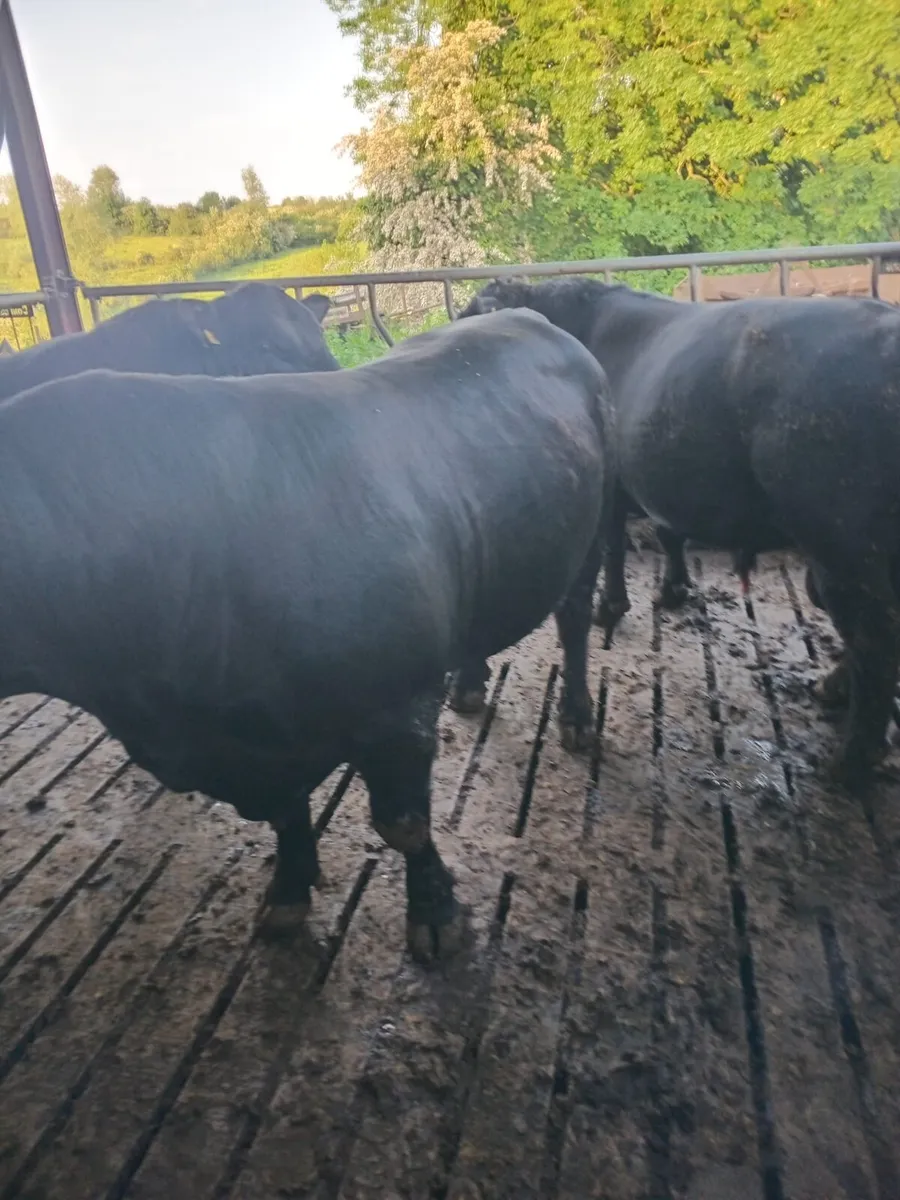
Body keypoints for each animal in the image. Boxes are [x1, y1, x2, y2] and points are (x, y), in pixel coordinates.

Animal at [0, 308, 613, 960]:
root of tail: (524, 313)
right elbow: (288, 814)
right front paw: (288, 894)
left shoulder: (398, 714)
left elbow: (403, 825)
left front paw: (435, 913)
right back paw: (470, 685)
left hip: (594, 530)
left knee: (575, 617)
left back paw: (577, 716)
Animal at [460, 277, 900, 786]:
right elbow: (669, 534)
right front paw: (671, 590)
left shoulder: (611, 488)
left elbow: (614, 547)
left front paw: (610, 607)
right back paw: (838, 691)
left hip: (843, 547)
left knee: (875, 640)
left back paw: (851, 758)